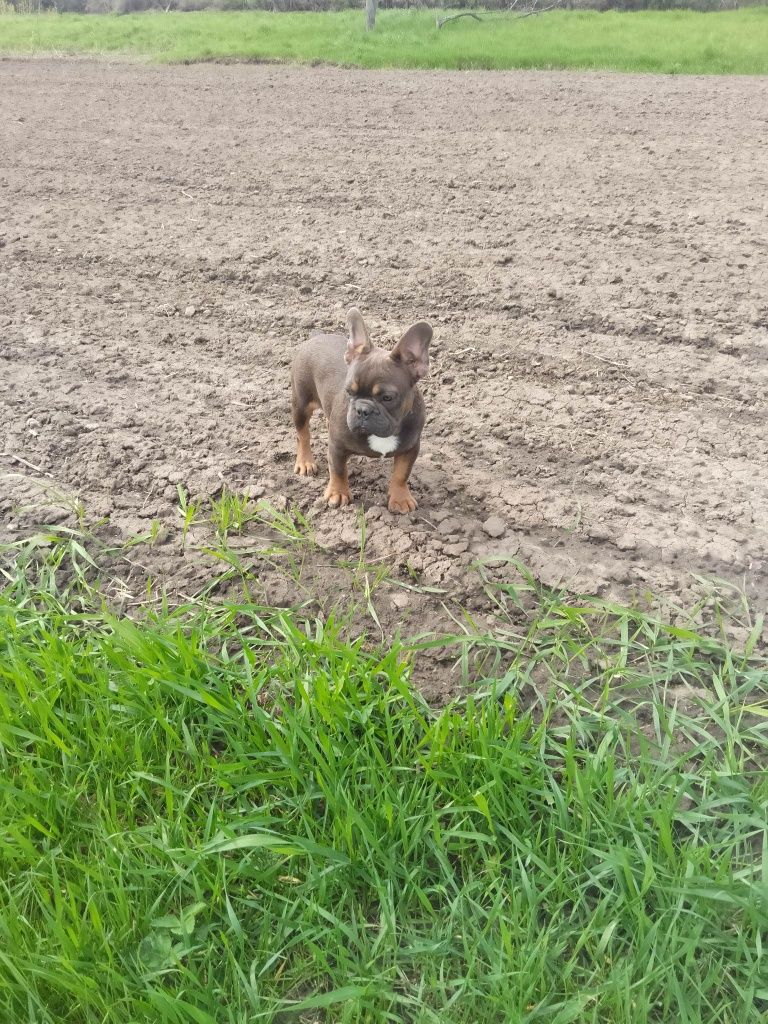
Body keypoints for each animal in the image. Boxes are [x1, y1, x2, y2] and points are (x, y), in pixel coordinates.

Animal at [290, 303, 434, 512]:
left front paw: (400, 498)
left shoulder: (411, 447)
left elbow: (402, 473)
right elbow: (338, 470)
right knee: (302, 434)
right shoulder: (337, 446)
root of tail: (316, 337)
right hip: (301, 403)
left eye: (387, 397)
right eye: (348, 391)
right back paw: (305, 462)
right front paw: (337, 493)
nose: (362, 410)